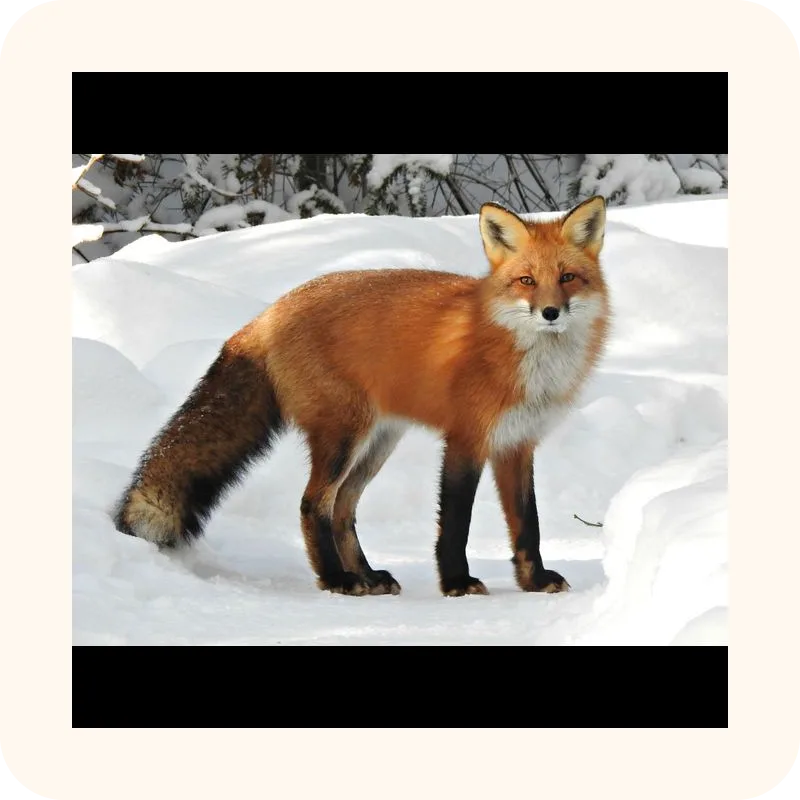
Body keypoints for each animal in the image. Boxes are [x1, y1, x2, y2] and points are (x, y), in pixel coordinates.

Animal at [113, 195, 611, 598]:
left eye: (568, 277)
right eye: (527, 281)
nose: (550, 312)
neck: (524, 359)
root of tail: (267, 315)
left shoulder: (517, 444)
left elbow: (528, 524)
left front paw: (534, 581)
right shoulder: (466, 439)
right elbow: (456, 522)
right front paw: (455, 582)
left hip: (377, 442)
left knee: (342, 509)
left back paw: (366, 576)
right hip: (344, 436)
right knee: (313, 504)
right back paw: (337, 580)